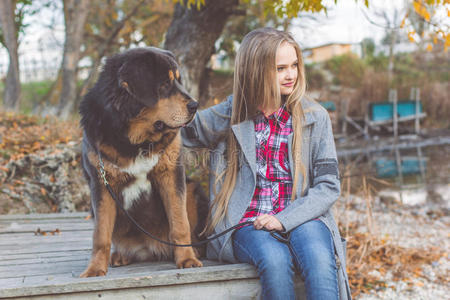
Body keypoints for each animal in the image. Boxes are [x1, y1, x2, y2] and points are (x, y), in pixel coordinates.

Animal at [79, 47, 207, 276]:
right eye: (164, 84)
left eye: (178, 82)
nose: (195, 105)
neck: (136, 141)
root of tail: (150, 248)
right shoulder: (101, 184)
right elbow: (101, 234)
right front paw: (95, 269)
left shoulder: (171, 175)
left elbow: (180, 223)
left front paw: (187, 259)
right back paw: (119, 255)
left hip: (193, 189)